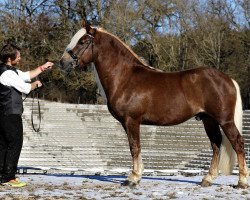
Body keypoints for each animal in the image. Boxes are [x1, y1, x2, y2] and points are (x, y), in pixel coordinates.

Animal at [59, 20, 249, 188]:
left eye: (83, 41)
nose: (63, 62)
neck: (125, 77)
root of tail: (228, 79)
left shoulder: (132, 120)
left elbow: (134, 147)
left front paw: (133, 179)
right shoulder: (129, 123)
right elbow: (135, 148)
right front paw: (137, 176)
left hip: (225, 120)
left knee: (237, 143)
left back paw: (241, 182)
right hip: (208, 120)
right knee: (216, 145)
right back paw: (208, 179)